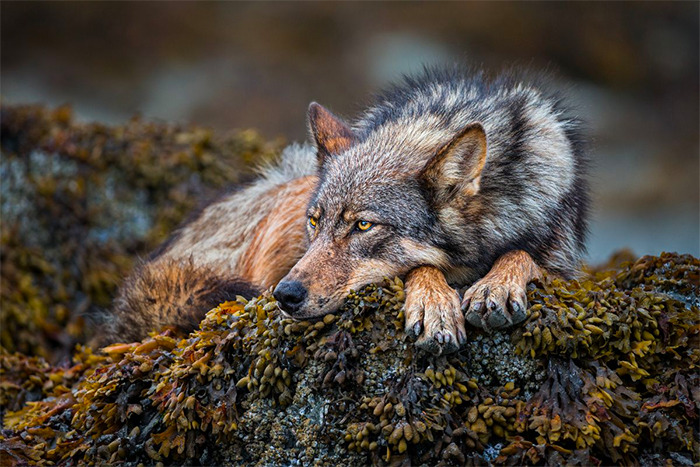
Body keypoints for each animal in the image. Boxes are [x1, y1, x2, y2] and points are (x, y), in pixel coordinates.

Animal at [95, 66, 588, 354]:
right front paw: (434, 304)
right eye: (315, 223)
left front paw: (495, 286)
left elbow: (522, 255)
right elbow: (422, 267)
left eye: (363, 226)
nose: (286, 295)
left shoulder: (563, 262)